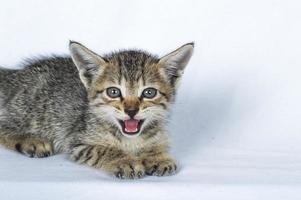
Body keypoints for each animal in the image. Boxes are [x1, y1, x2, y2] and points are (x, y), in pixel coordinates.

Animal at [0, 41, 192, 179]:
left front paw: (157, 156)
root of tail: (16, 75)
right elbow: (104, 149)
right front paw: (125, 161)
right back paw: (31, 140)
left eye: (149, 92)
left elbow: (155, 143)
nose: (131, 111)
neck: (130, 140)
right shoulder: (77, 142)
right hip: (30, 109)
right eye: (113, 92)